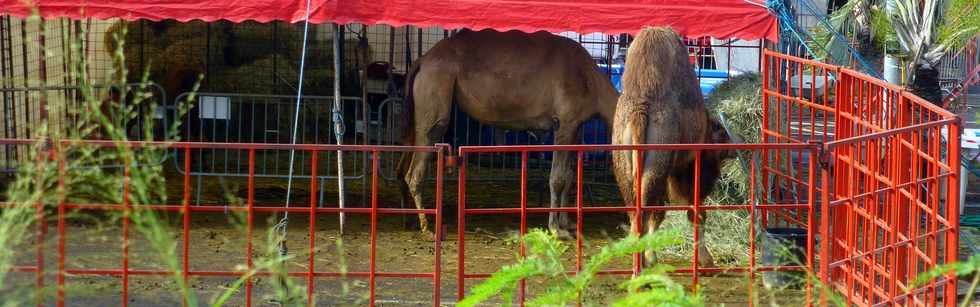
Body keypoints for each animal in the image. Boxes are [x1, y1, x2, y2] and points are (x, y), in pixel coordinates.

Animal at [394, 29, 616, 236]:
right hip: (435, 89)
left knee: (402, 166)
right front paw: (555, 229)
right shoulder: (565, 124)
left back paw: (409, 221)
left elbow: (570, 176)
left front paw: (567, 223)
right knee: (417, 165)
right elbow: (558, 178)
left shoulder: (576, 128)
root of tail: (422, 60)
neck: (591, 81)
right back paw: (427, 227)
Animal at [612, 27, 736, 268]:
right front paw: (706, 260)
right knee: (645, 213)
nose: (734, 150)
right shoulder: (690, 166)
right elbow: (695, 212)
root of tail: (640, 110)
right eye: (722, 134)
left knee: (635, 211)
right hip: (657, 164)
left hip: (622, 161)